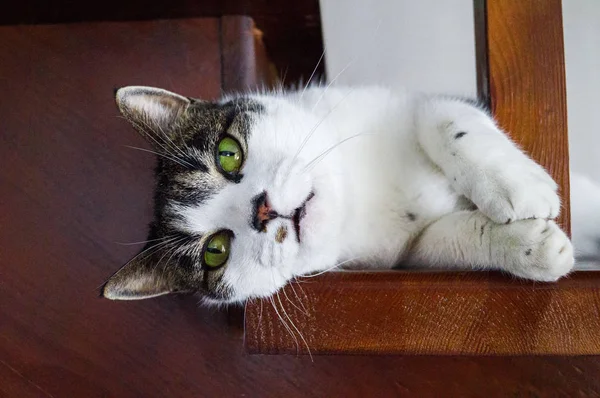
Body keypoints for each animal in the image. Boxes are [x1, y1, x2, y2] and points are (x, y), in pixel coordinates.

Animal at [101, 85, 576, 304]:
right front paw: (529, 246)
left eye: (228, 154)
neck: (357, 195)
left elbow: (442, 117)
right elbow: (450, 241)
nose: (262, 210)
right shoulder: (409, 253)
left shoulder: (407, 103)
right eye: (215, 251)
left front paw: (517, 185)